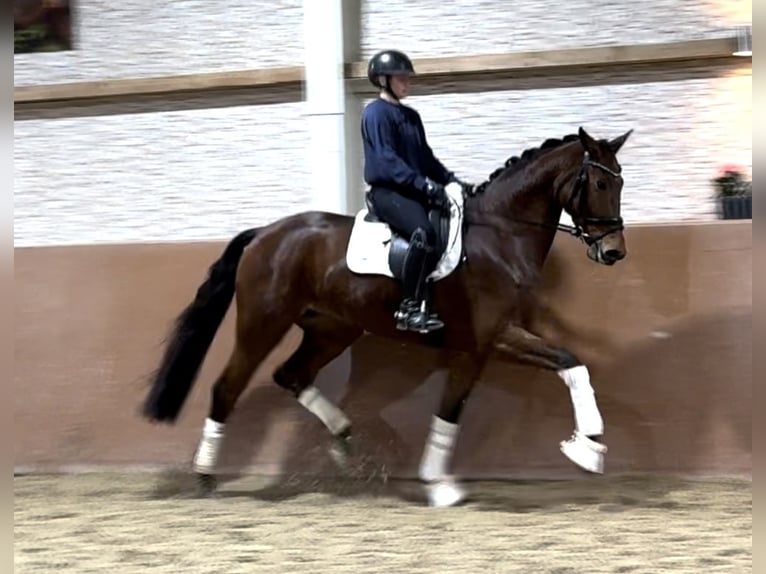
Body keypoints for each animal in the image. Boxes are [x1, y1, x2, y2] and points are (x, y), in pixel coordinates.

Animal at [142, 127, 636, 508]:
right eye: (599, 184)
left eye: (620, 183)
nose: (614, 252)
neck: (499, 238)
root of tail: (265, 234)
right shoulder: (490, 338)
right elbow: (567, 363)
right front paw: (587, 448)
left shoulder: (477, 348)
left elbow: (455, 411)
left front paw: (440, 485)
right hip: (262, 324)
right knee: (228, 387)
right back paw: (207, 477)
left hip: (332, 329)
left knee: (291, 374)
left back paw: (345, 440)